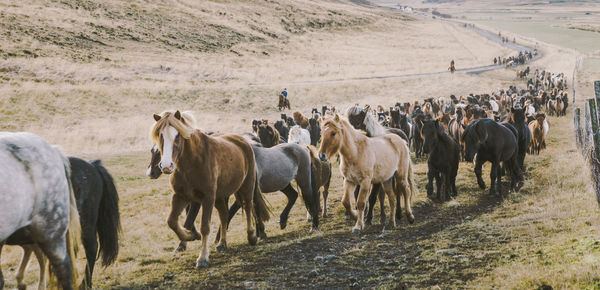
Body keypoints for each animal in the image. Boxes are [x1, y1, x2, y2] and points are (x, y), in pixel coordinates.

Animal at [150, 110, 270, 268]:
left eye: (177, 135)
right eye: (160, 135)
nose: (165, 166)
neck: (191, 164)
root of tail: (244, 141)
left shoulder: (207, 198)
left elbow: (204, 227)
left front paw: (202, 258)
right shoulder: (180, 196)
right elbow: (172, 222)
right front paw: (190, 236)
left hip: (247, 186)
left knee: (248, 206)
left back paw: (251, 236)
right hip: (219, 197)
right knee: (224, 215)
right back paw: (222, 244)